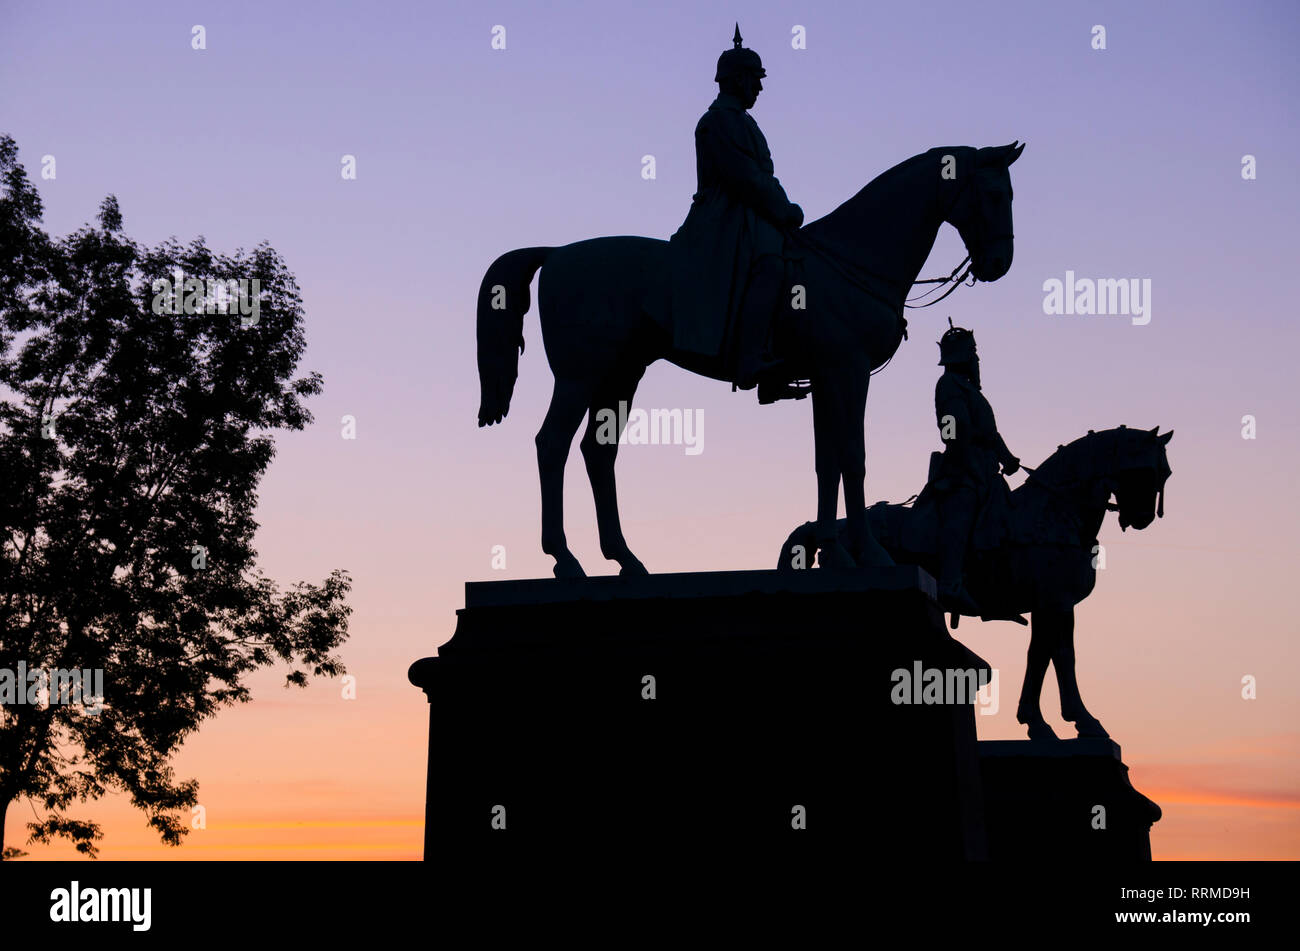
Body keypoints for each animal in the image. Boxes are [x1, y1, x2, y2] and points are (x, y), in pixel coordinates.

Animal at [483, 142, 1019, 579]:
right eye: (996, 195)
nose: (998, 265)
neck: (851, 258)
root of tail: (556, 253)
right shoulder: (847, 372)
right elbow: (853, 456)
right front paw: (869, 553)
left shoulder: (826, 378)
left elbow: (827, 461)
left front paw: (835, 551)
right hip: (580, 377)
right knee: (551, 444)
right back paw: (565, 559)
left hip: (621, 376)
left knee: (598, 454)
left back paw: (625, 560)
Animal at [774, 426, 1175, 743]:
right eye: (1149, 470)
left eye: (1165, 474)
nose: (1141, 518)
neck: (1051, 513)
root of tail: (831, 529)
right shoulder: (1055, 602)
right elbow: (1062, 657)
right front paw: (1082, 721)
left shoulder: (1049, 606)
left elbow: (1039, 656)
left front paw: (1036, 722)